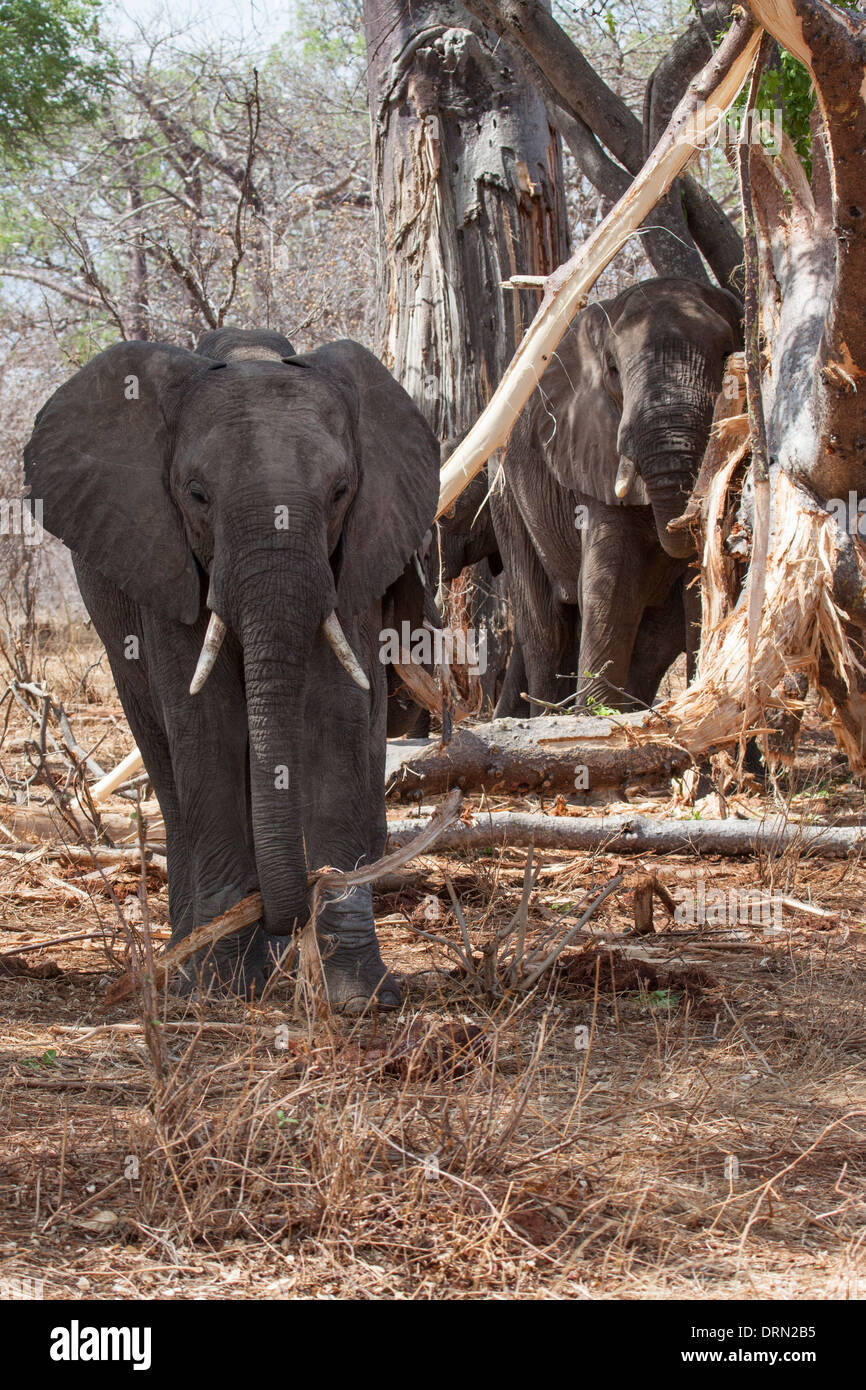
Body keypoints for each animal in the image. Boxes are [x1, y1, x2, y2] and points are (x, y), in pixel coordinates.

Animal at [23, 326, 440, 1009]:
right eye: (196, 495)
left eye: (340, 493)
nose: (285, 914)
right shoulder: (165, 560)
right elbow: (205, 722)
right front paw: (218, 990)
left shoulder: (354, 560)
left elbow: (334, 717)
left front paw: (356, 997)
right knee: (167, 763)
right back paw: (186, 963)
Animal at [489, 277, 742, 714]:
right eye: (612, 370)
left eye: (728, 353)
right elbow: (613, 579)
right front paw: (593, 717)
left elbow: (698, 587)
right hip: (508, 500)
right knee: (545, 629)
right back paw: (545, 713)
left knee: (655, 636)